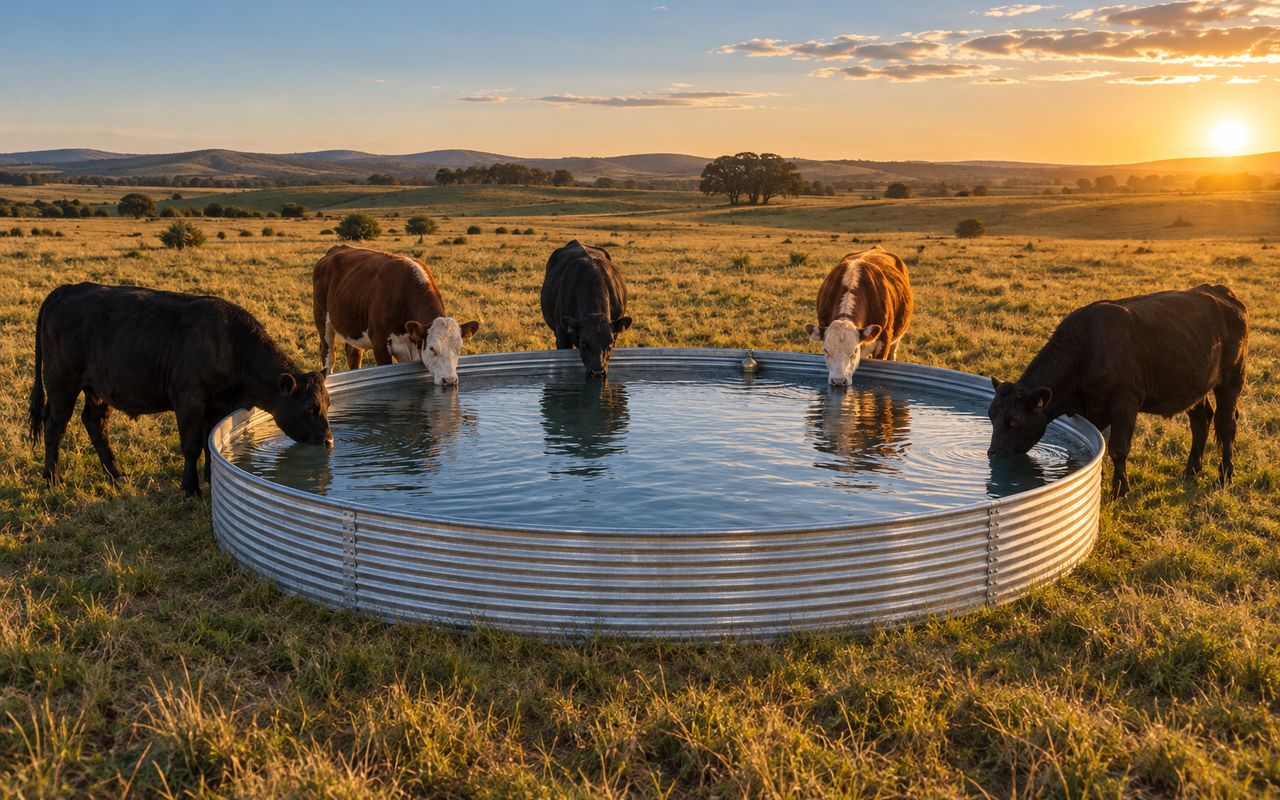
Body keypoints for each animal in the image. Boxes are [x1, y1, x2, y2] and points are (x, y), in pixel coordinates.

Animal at [27, 283, 332, 498]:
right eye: (310, 407)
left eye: (328, 403)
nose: (329, 440)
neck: (231, 345)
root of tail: (69, 289)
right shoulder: (189, 401)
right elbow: (192, 445)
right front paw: (191, 487)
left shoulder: (217, 406)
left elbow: (209, 442)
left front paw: (210, 477)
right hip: (62, 383)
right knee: (55, 425)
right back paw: (53, 478)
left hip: (98, 388)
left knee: (95, 423)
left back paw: (117, 474)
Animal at [312, 245, 479, 385]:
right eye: (432, 348)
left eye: (459, 348)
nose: (449, 380)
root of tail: (336, 249)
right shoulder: (379, 341)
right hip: (322, 318)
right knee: (328, 353)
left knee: (353, 352)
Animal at [987, 284, 1248, 498]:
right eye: (991, 415)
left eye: (1014, 419)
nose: (993, 452)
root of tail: (1220, 291)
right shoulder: (1092, 411)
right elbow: (1098, 445)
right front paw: (1098, 481)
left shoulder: (1125, 403)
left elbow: (1118, 448)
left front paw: (1120, 489)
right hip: (1194, 385)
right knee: (1201, 419)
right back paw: (1191, 470)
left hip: (1233, 377)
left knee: (1226, 424)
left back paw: (1225, 476)